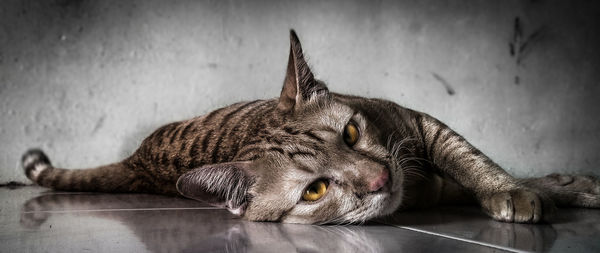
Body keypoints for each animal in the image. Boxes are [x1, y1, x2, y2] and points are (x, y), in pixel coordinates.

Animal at [21, 30, 596, 224]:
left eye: (350, 135)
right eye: (315, 190)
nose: (382, 180)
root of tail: (137, 158)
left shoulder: (420, 126)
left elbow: (470, 158)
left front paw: (530, 187)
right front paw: (537, 190)